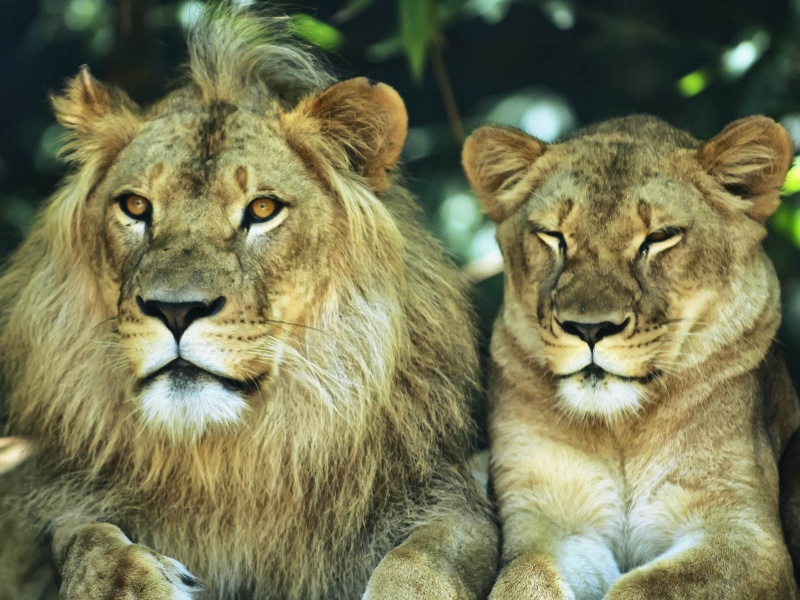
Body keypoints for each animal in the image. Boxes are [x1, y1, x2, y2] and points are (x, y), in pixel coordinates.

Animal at [0, 6, 498, 599]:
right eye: (136, 206)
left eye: (262, 209)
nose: (175, 310)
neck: (231, 466)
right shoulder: (53, 501)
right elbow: (86, 539)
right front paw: (133, 578)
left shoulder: (448, 504)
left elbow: (421, 563)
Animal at [461, 114, 800, 599]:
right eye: (553, 236)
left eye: (659, 238)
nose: (589, 329)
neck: (620, 431)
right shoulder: (549, 520)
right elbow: (525, 577)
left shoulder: (746, 531)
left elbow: (646, 587)